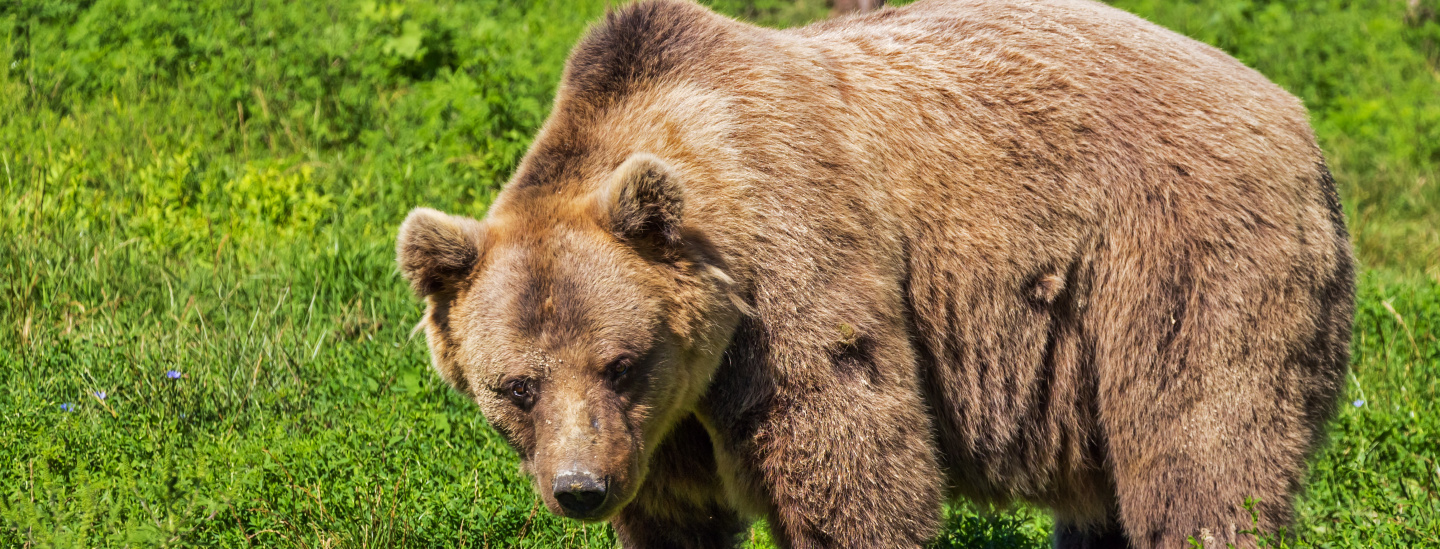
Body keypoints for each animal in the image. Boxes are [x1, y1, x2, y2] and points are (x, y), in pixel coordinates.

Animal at [394, 2, 1347, 544]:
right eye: (516, 385)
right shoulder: (664, 433)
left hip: (1176, 262)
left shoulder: (794, 285)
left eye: (621, 363)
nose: (580, 489)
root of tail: (1294, 114)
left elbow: (854, 472)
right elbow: (677, 519)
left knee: (1199, 454)